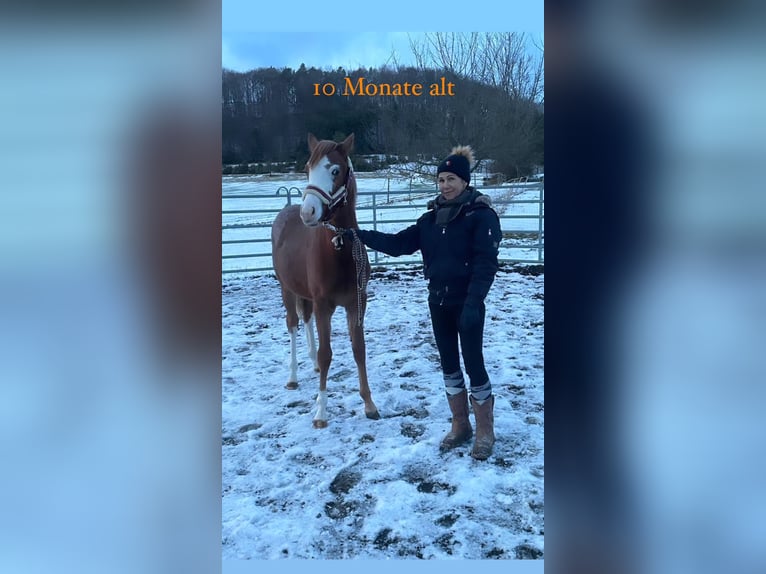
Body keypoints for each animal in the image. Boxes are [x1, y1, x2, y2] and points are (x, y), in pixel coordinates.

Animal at [272, 134, 382, 428]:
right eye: (307, 168)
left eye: (335, 171)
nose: (308, 212)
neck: (338, 249)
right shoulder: (325, 305)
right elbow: (327, 353)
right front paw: (321, 412)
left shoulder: (357, 303)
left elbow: (359, 349)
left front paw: (369, 404)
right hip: (286, 289)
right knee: (293, 324)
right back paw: (293, 377)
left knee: (306, 320)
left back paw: (312, 366)